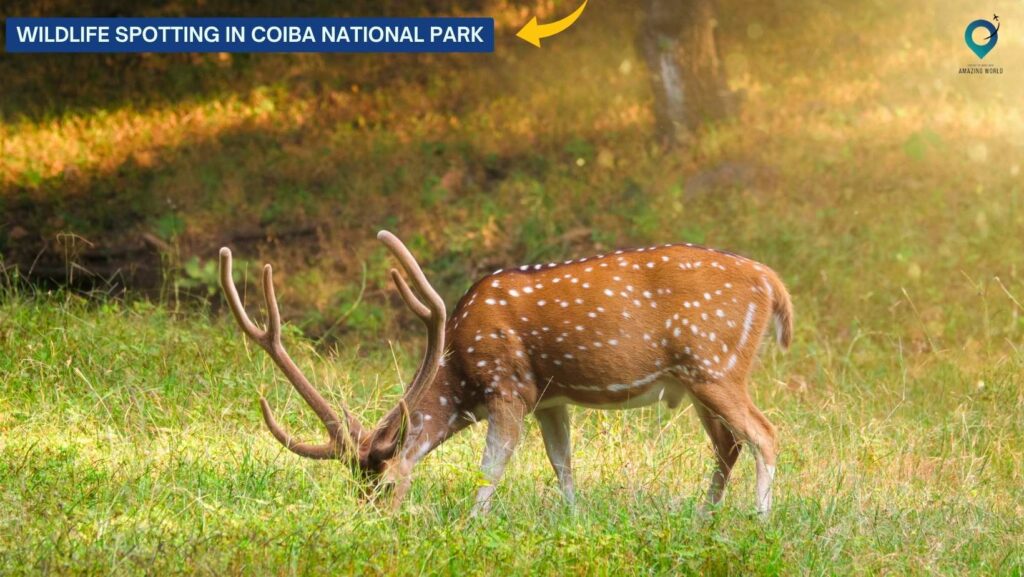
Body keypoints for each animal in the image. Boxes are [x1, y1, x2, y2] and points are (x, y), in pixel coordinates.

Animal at [220, 229, 794, 514]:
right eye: (353, 489)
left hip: (714, 365)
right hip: (698, 381)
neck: (459, 371)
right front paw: (573, 521)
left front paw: (470, 525)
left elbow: (491, 467)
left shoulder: (508, 386)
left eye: (381, 489)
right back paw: (702, 520)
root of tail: (772, 282)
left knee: (765, 434)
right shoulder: (551, 398)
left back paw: (758, 521)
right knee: (729, 444)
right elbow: (563, 465)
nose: (364, 521)